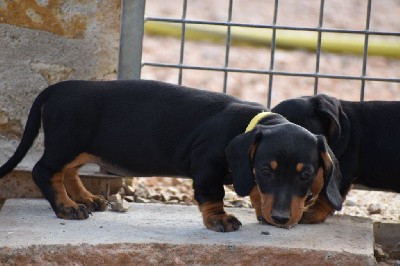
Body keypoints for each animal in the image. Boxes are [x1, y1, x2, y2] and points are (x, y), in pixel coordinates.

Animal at [0, 80, 342, 232]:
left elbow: (257, 192)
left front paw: (263, 211)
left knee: (68, 171)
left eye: (305, 175)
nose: (282, 219)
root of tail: (59, 87)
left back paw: (85, 198)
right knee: (45, 172)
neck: (248, 123)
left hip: (77, 147)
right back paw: (67, 207)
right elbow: (214, 195)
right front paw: (219, 219)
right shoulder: (207, 166)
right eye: (267, 171)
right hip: (65, 143)